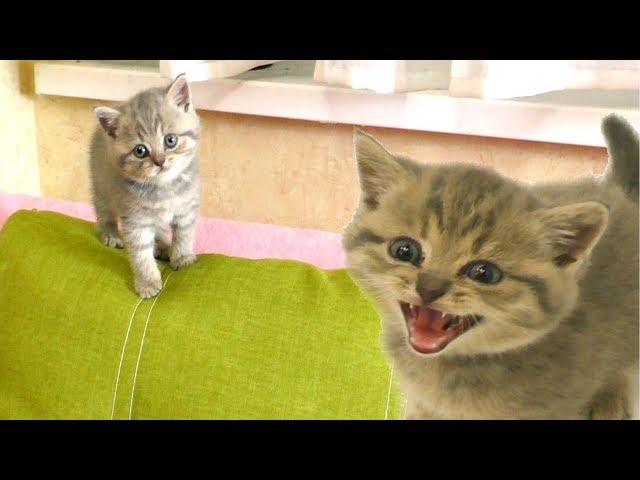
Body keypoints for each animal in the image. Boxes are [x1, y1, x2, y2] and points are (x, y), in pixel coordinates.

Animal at [90, 74, 200, 300]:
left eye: (170, 140)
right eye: (140, 151)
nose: (160, 162)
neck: (164, 188)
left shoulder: (186, 208)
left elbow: (184, 233)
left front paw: (182, 256)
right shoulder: (135, 220)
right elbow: (141, 254)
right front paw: (147, 282)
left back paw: (163, 246)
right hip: (101, 191)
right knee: (104, 216)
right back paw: (111, 235)